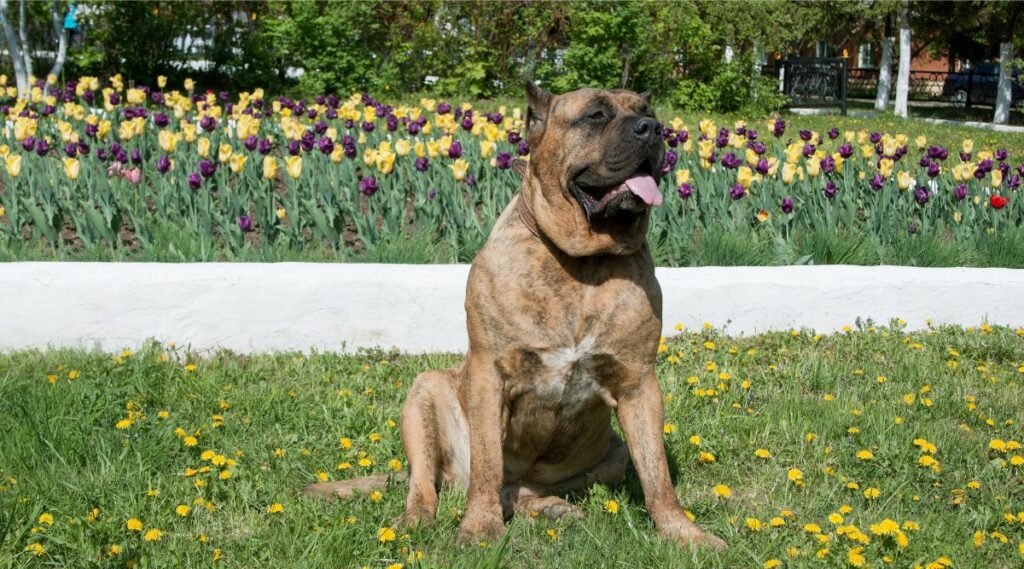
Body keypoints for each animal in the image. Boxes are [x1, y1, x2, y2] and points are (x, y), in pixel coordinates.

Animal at [303, 82, 729, 548]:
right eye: (596, 115)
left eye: (647, 110)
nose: (652, 129)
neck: (581, 264)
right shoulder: (489, 375)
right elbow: (488, 465)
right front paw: (480, 527)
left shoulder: (639, 384)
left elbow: (658, 476)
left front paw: (684, 533)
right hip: (424, 394)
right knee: (428, 482)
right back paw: (416, 518)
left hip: (611, 455)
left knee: (521, 492)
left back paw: (552, 507)